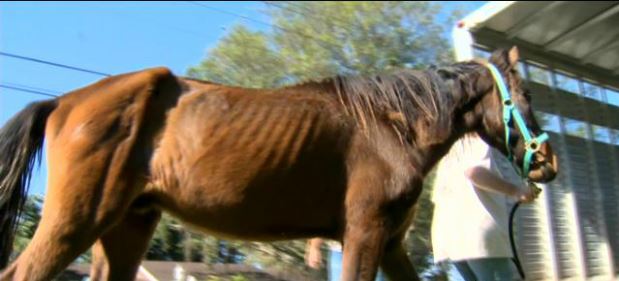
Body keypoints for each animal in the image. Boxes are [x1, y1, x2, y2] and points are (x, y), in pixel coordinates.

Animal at [0, 47, 560, 278]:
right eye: (527, 94)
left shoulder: (391, 244)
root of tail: (64, 102)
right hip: (76, 219)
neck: (388, 126)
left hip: (127, 226)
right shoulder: (364, 233)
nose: (547, 162)